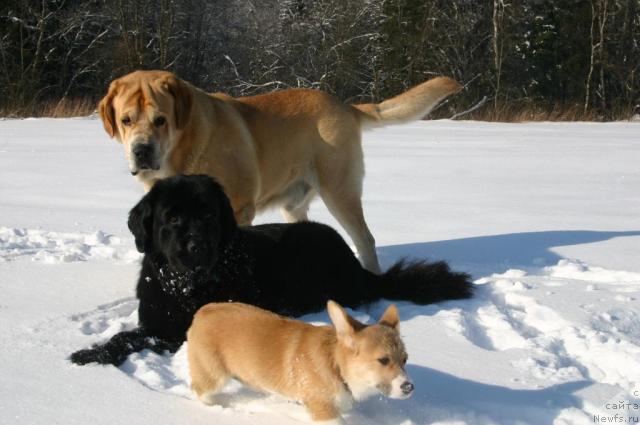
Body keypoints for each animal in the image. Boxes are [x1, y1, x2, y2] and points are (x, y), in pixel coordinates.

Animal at [71, 175, 470, 364]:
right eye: (171, 218)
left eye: (208, 216)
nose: (196, 247)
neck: (189, 285)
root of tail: (354, 264)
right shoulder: (157, 321)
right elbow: (125, 335)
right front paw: (89, 352)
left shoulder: (177, 334)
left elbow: (131, 339)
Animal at [99, 68, 460, 268]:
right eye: (126, 120)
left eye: (160, 120)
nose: (142, 150)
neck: (183, 150)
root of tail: (345, 106)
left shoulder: (238, 209)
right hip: (295, 206)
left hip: (339, 191)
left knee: (366, 240)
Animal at [188, 300, 412, 422]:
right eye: (383, 360)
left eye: (405, 360)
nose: (409, 387)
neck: (336, 366)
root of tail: (201, 312)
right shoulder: (323, 410)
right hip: (213, 375)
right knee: (200, 390)